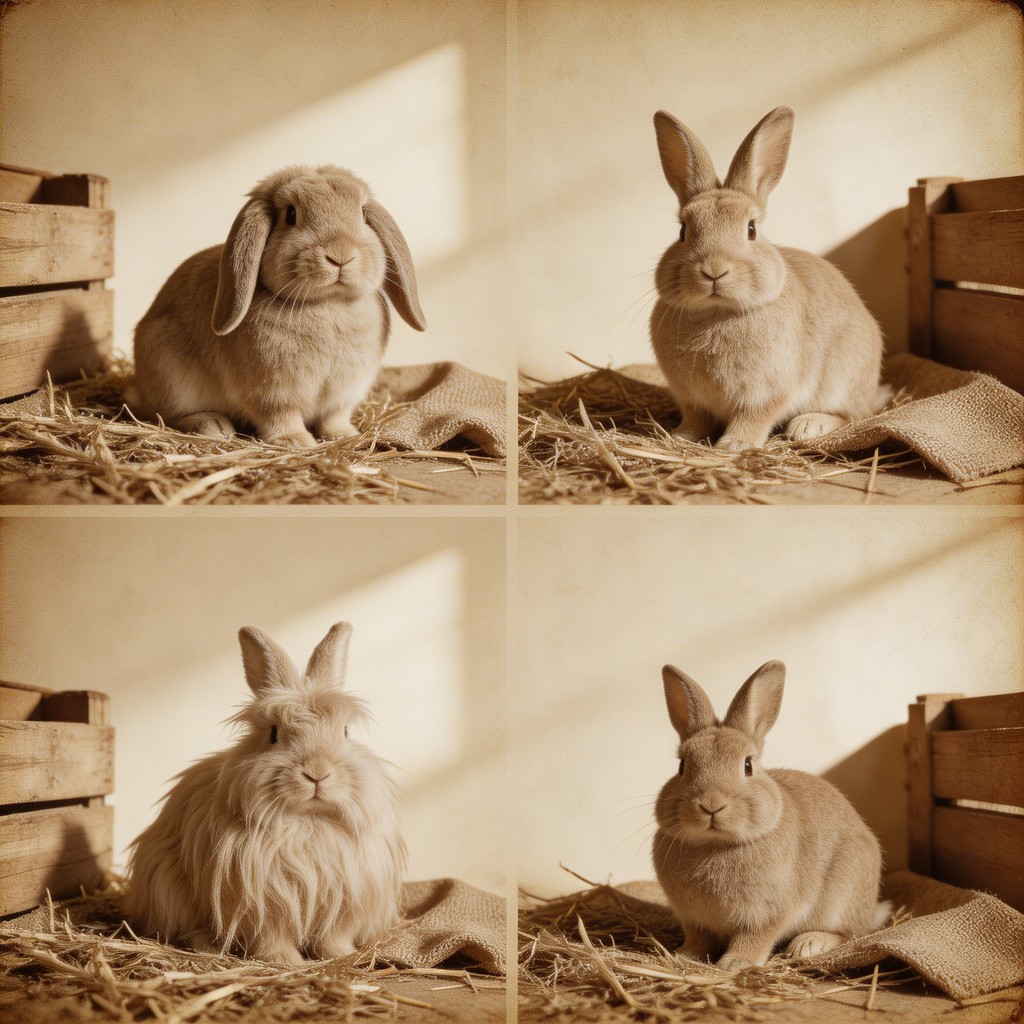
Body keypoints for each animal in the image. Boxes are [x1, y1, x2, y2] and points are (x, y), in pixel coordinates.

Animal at [124, 622, 406, 965]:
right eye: (274, 734)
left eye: (345, 732)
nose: (317, 772)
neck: (308, 823)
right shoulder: (263, 906)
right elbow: (273, 938)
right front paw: (288, 962)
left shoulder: (342, 903)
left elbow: (333, 937)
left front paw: (340, 957)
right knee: (191, 931)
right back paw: (210, 948)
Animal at [130, 165, 426, 448]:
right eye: (291, 214)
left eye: (363, 213)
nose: (340, 255)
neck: (327, 303)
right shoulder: (270, 393)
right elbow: (280, 416)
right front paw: (294, 441)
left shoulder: (343, 393)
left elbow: (334, 417)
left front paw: (345, 436)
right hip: (169, 370)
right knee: (168, 414)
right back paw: (213, 425)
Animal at [649, 107, 889, 450]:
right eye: (683, 231)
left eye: (751, 229)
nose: (714, 270)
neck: (717, 312)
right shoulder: (692, 400)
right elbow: (696, 419)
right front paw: (680, 437)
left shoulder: (767, 394)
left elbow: (755, 417)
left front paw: (735, 444)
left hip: (842, 379)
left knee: (853, 415)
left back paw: (808, 426)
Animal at [652, 660, 890, 971]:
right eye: (682, 766)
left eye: (748, 765)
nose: (711, 805)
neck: (714, 844)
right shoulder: (693, 920)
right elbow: (699, 939)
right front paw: (684, 956)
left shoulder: (768, 914)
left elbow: (755, 937)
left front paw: (735, 963)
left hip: (843, 894)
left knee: (850, 932)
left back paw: (808, 944)